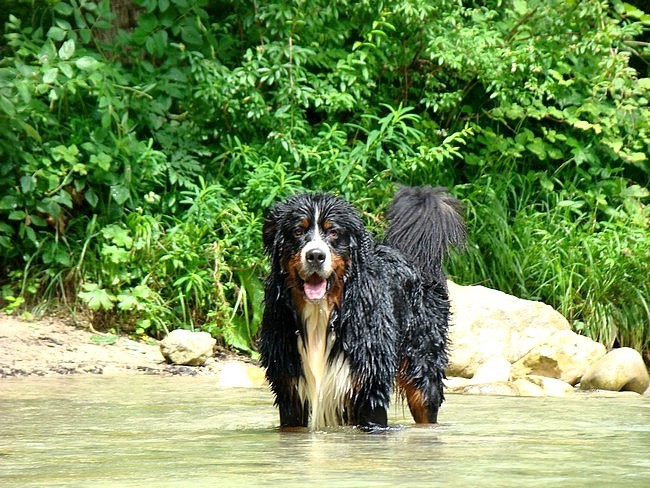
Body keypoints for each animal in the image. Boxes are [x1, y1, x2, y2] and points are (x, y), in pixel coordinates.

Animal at [256, 187, 464, 430]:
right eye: (298, 231)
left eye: (333, 233)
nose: (315, 255)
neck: (321, 314)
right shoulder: (290, 390)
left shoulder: (369, 387)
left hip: (423, 371)